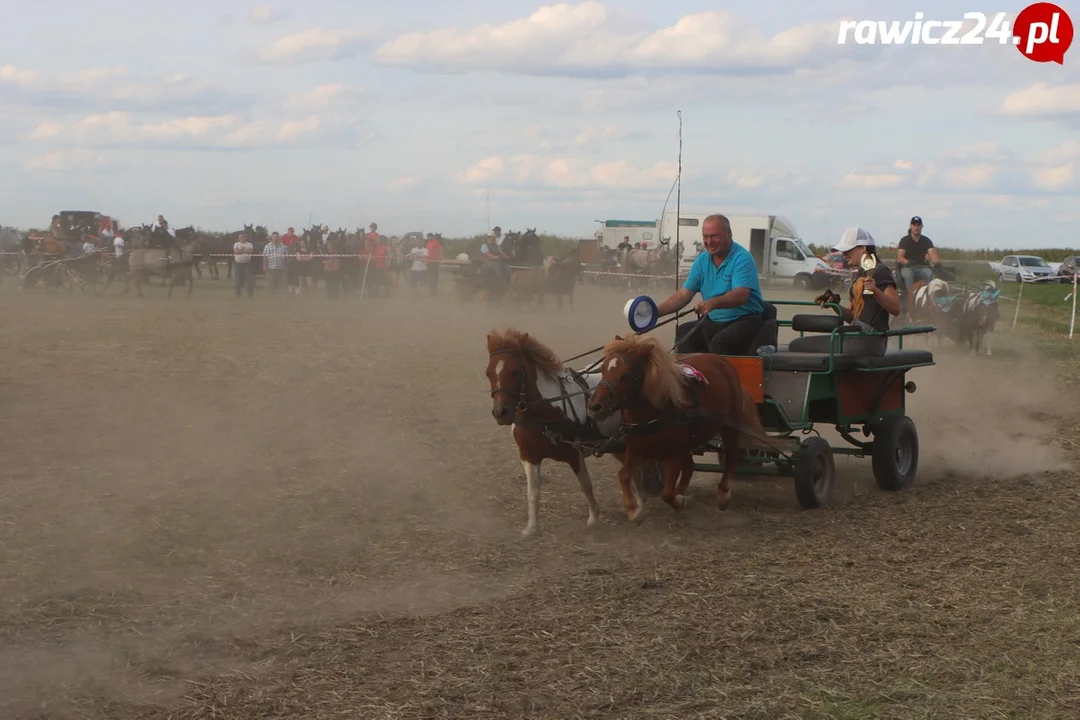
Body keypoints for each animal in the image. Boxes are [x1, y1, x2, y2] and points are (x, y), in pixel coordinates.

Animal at [481, 330, 626, 537]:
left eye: (515, 371)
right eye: (489, 373)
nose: (501, 413)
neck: (543, 414)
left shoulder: (574, 454)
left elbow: (585, 485)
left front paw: (593, 518)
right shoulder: (529, 457)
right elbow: (532, 492)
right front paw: (532, 528)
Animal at [583, 332, 794, 524]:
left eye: (624, 375)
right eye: (603, 369)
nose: (594, 407)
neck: (656, 412)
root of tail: (721, 360)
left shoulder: (675, 454)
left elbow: (667, 494)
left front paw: (680, 501)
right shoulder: (637, 449)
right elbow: (624, 475)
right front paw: (635, 510)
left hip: (729, 427)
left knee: (731, 457)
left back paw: (722, 495)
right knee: (691, 466)